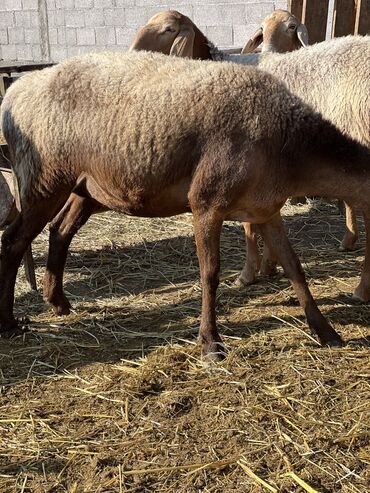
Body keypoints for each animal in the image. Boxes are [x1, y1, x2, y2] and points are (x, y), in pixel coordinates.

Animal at [0, 50, 370, 360]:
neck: (291, 152)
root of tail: (15, 92)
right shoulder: (206, 203)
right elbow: (210, 273)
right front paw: (210, 343)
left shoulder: (265, 209)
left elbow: (295, 267)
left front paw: (326, 332)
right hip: (44, 178)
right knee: (14, 241)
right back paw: (9, 321)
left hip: (86, 187)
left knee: (60, 230)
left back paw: (58, 302)